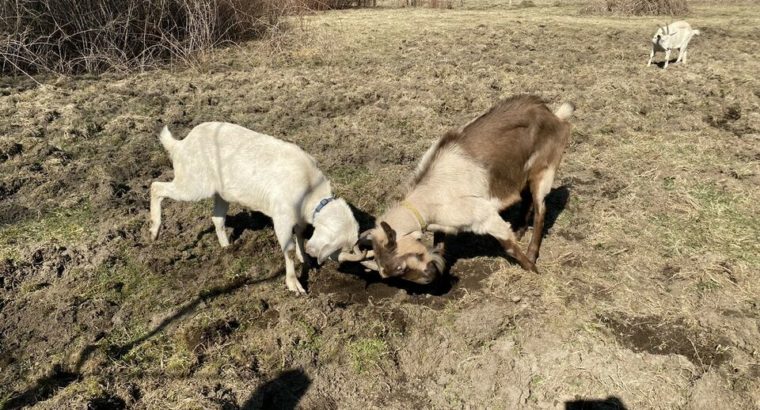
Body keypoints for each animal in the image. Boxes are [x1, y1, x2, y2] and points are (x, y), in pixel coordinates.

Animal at [150, 122, 364, 294]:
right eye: (337, 249)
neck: (310, 190)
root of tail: (181, 144)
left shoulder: (299, 218)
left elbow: (301, 235)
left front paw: (305, 258)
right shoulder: (282, 216)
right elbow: (288, 249)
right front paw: (294, 284)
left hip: (221, 192)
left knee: (217, 218)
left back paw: (228, 248)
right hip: (193, 181)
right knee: (156, 186)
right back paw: (154, 230)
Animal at [366, 94, 572, 284]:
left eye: (400, 267)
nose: (428, 278)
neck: (430, 196)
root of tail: (554, 115)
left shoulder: (484, 216)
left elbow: (509, 247)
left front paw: (533, 271)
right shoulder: (443, 224)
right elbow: (439, 247)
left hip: (544, 171)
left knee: (540, 211)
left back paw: (531, 253)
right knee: (527, 198)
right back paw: (520, 231)